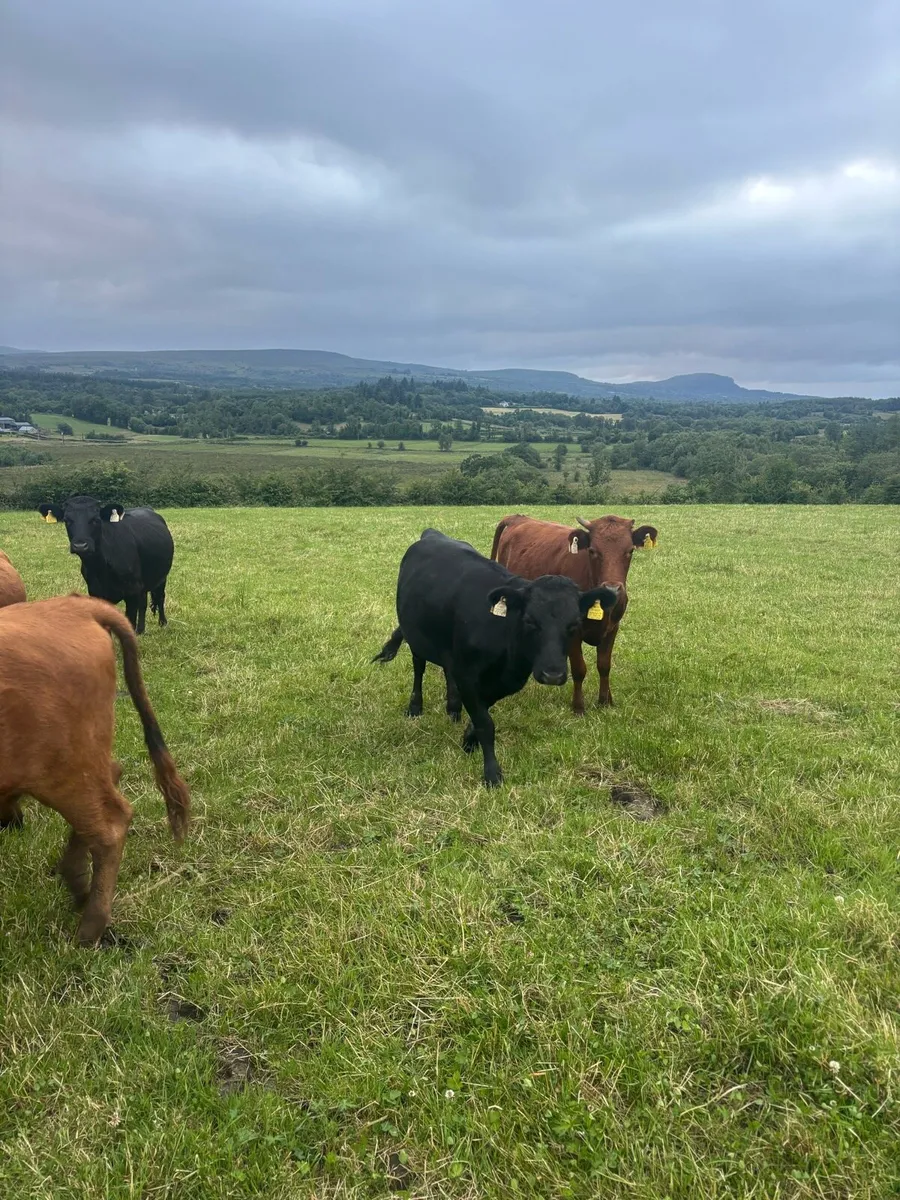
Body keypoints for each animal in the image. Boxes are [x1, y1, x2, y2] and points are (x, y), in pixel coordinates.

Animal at [38, 496, 174, 633]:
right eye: (67, 520)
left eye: (96, 519)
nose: (80, 545)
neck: (101, 567)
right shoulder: (96, 592)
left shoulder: (132, 592)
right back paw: (141, 629)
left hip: (161, 577)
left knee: (160, 597)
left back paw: (162, 622)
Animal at [373, 529, 619, 786]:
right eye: (530, 621)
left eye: (574, 624)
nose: (552, 674)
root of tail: (433, 534)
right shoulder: (467, 675)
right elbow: (485, 723)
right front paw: (492, 773)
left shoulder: (501, 681)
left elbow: (481, 715)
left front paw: (468, 739)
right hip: (416, 636)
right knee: (419, 666)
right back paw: (415, 707)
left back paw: (453, 709)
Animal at [491, 513, 658, 715]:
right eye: (593, 551)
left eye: (630, 550)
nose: (612, 589)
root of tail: (517, 517)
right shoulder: (573, 633)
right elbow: (579, 669)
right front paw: (578, 707)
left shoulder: (612, 628)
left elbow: (604, 666)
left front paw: (605, 701)